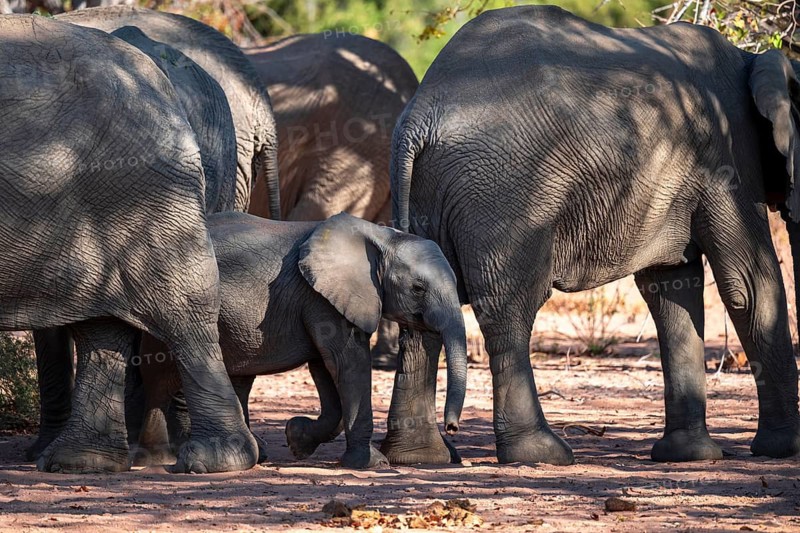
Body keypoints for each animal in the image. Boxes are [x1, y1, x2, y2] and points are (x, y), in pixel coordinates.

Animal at [0, 15, 256, 473]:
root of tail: (157, 80)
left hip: (147, 193)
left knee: (184, 309)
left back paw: (209, 458)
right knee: (100, 320)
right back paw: (81, 462)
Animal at [128, 212, 467, 469]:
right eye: (418, 288)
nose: (452, 427)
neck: (383, 237)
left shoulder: (321, 298)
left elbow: (325, 368)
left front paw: (297, 439)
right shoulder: (320, 297)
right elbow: (347, 363)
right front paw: (372, 464)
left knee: (237, 376)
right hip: (169, 297)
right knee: (160, 375)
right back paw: (157, 459)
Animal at [387, 5, 800, 465]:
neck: (754, 61)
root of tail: (420, 116)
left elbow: (671, 290)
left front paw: (687, 455)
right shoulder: (727, 157)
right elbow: (749, 284)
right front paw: (783, 448)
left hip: (432, 191)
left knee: (420, 307)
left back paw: (420, 458)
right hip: (502, 194)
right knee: (511, 306)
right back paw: (541, 454)